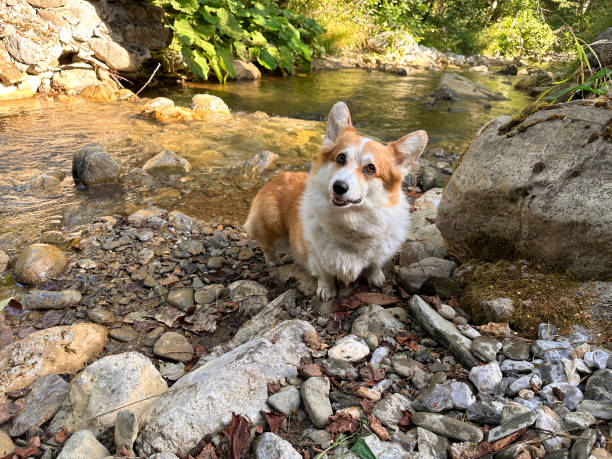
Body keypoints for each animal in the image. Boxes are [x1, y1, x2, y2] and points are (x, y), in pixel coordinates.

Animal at [243, 101, 426, 302]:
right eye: (341, 158)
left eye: (371, 169)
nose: (338, 187)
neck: (351, 221)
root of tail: (275, 178)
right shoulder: (316, 255)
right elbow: (325, 274)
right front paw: (327, 290)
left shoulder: (380, 252)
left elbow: (374, 264)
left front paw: (376, 276)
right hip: (269, 224)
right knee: (266, 245)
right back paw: (273, 260)